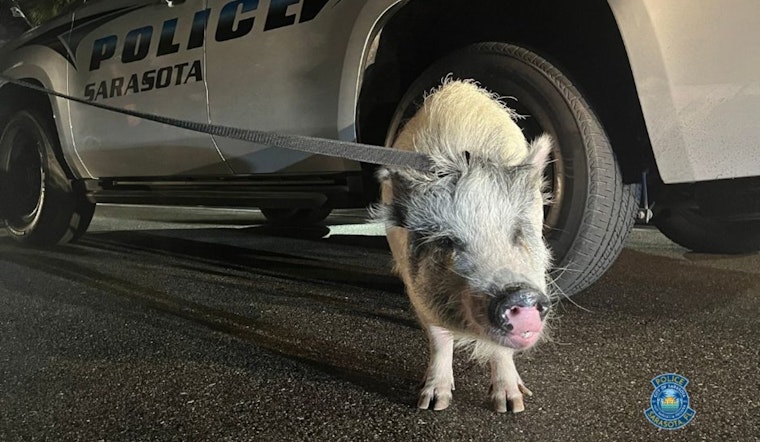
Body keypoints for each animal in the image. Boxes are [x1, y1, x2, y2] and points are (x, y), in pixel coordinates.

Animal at [374, 79, 554, 413]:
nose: (519, 294)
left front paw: (511, 406)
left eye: (517, 232)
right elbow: (438, 337)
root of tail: (459, 87)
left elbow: (500, 350)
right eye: (447, 241)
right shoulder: (417, 287)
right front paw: (432, 403)